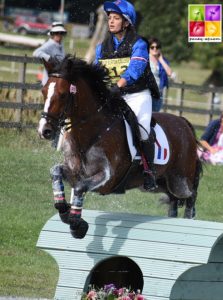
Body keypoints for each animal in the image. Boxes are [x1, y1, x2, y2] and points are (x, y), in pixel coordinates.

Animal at [37, 55, 202, 239]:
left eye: (63, 95)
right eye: (43, 91)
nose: (44, 130)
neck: (93, 131)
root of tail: (184, 123)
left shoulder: (108, 177)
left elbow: (80, 187)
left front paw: (77, 224)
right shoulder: (75, 172)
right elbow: (56, 172)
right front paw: (65, 211)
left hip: (180, 180)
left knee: (191, 196)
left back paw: (190, 221)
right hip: (160, 183)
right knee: (173, 200)